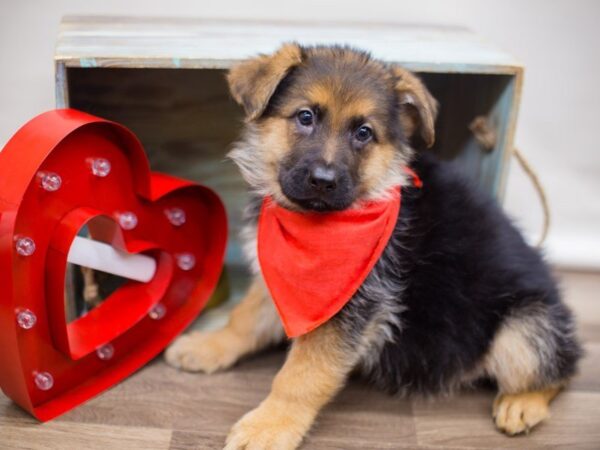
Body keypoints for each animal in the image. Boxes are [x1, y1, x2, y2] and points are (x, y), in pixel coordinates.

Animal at [164, 43, 580, 450]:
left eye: (364, 132)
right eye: (305, 117)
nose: (323, 181)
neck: (315, 225)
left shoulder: (352, 308)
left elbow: (301, 375)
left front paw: (271, 425)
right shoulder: (280, 277)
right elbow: (246, 318)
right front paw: (211, 346)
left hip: (524, 327)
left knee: (559, 372)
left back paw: (522, 403)